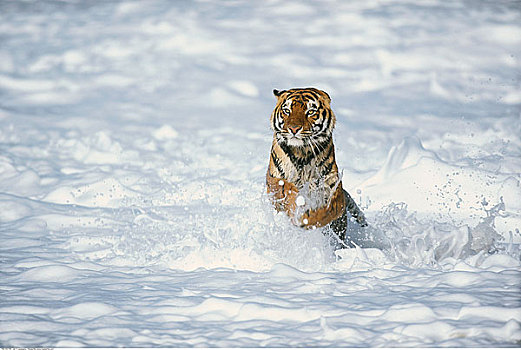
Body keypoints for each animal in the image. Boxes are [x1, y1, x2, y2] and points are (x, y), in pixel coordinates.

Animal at [264, 87, 366, 245]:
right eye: (287, 110)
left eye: (310, 111)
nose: (294, 129)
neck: (301, 153)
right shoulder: (274, 181)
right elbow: (286, 190)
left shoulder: (331, 187)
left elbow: (328, 210)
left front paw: (309, 218)